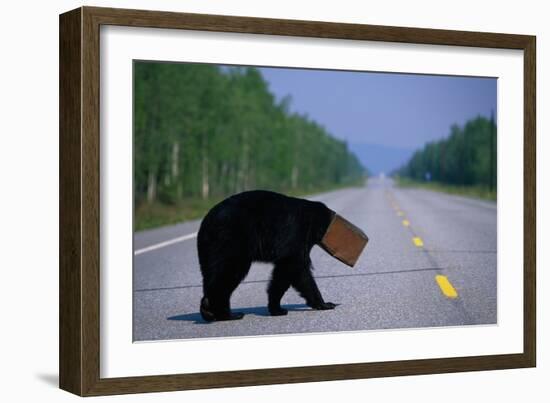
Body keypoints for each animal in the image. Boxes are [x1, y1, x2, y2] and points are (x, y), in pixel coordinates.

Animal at [198, 189, 336, 322]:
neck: (310, 218)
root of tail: (206, 222)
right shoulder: (296, 233)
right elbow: (295, 266)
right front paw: (325, 304)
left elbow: (282, 273)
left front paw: (276, 308)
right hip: (230, 239)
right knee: (230, 271)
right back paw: (228, 314)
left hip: (209, 250)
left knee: (212, 274)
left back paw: (207, 309)